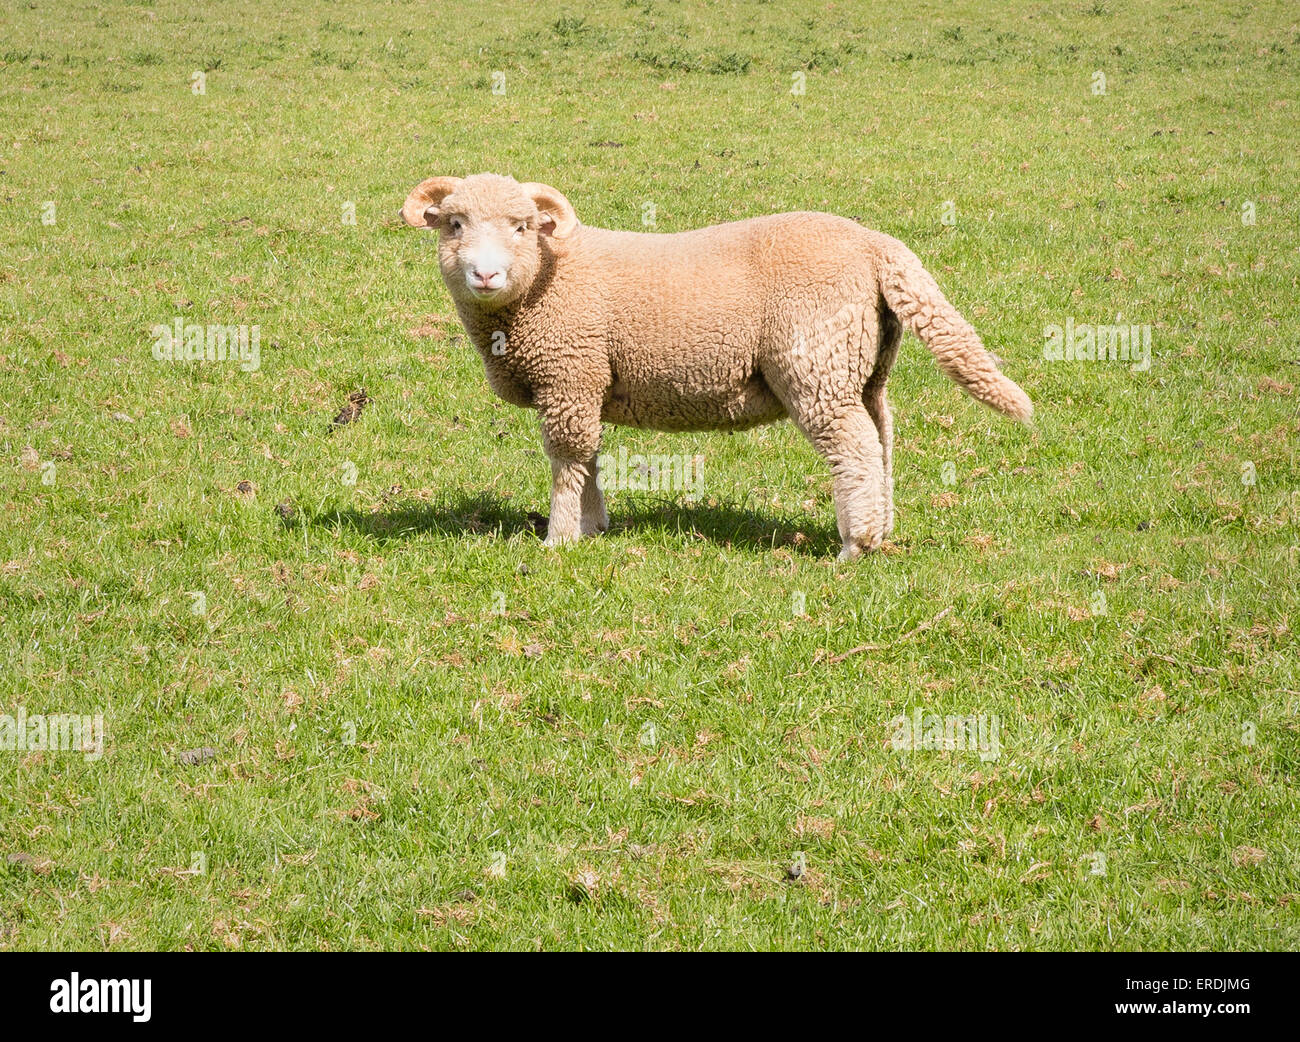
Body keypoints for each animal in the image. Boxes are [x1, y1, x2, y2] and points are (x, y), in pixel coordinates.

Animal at [401, 173, 1033, 560]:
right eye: (454, 224)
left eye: (522, 226)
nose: (485, 274)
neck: (542, 286)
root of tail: (877, 246)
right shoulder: (586, 383)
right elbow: (590, 459)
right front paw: (594, 525)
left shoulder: (569, 374)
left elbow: (567, 462)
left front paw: (560, 540)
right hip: (863, 362)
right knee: (880, 436)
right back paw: (882, 530)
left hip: (816, 364)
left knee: (853, 447)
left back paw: (854, 545)